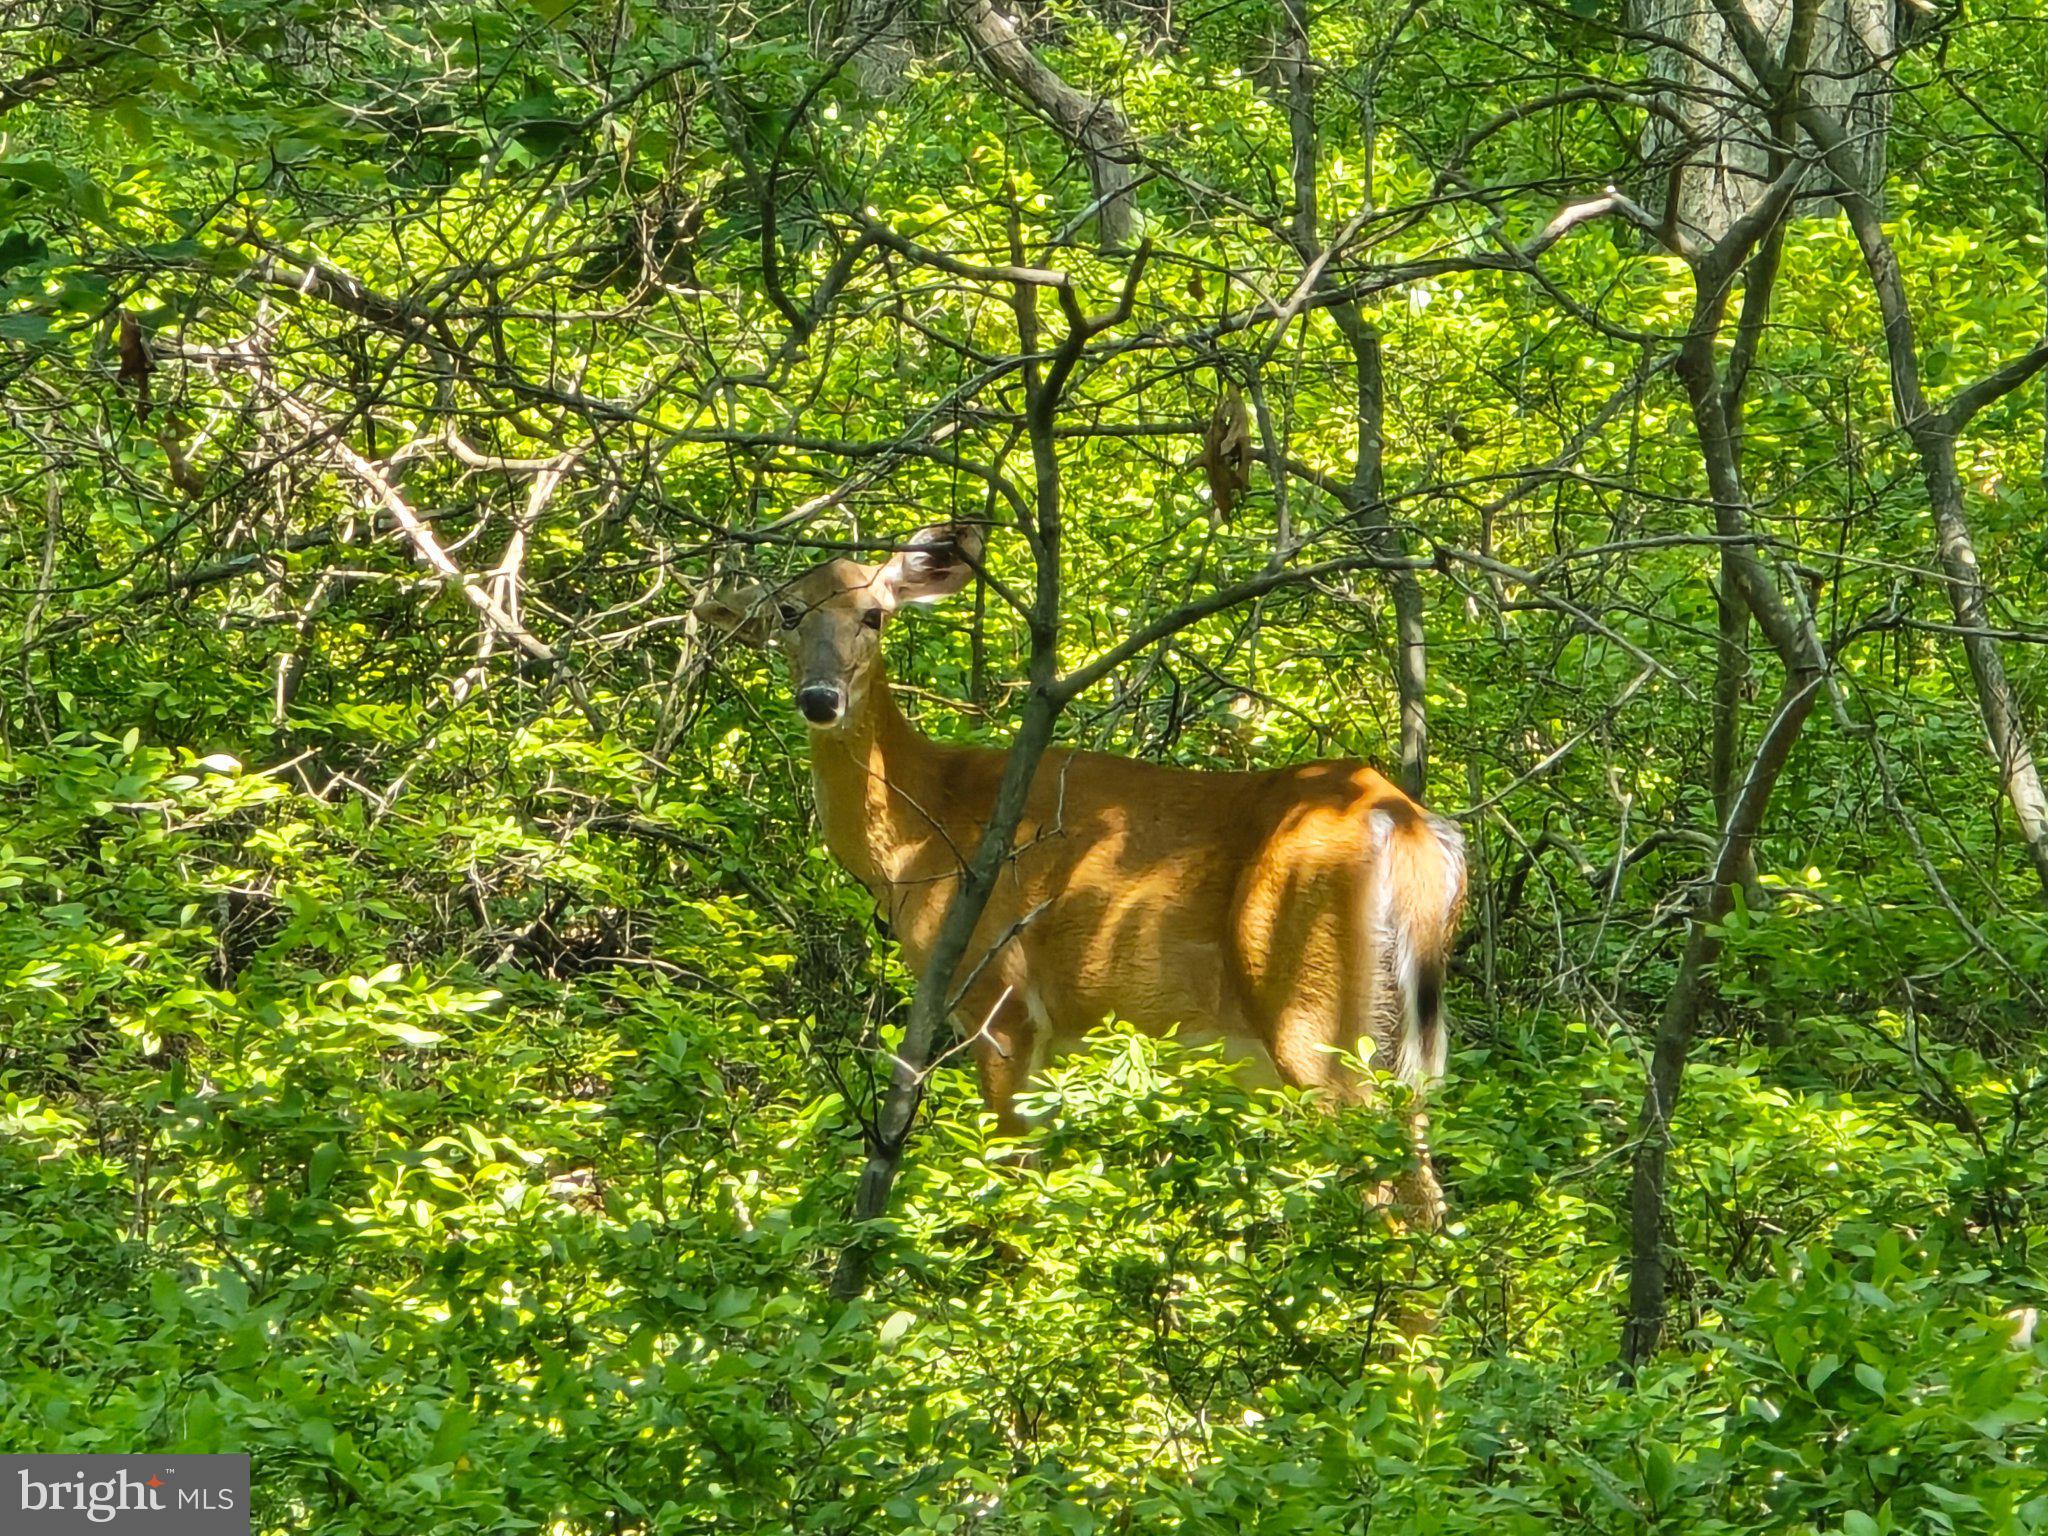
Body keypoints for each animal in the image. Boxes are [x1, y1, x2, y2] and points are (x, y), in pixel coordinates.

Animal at [695, 522, 1467, 1222]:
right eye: (789, 612)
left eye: (873, 614)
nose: (820, 698)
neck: (919, 833)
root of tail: (1401, 819)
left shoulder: (998, 995)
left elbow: (1012, 1186)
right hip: (1402, 1036)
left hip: (1310, 1000)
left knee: (1382, 1189)